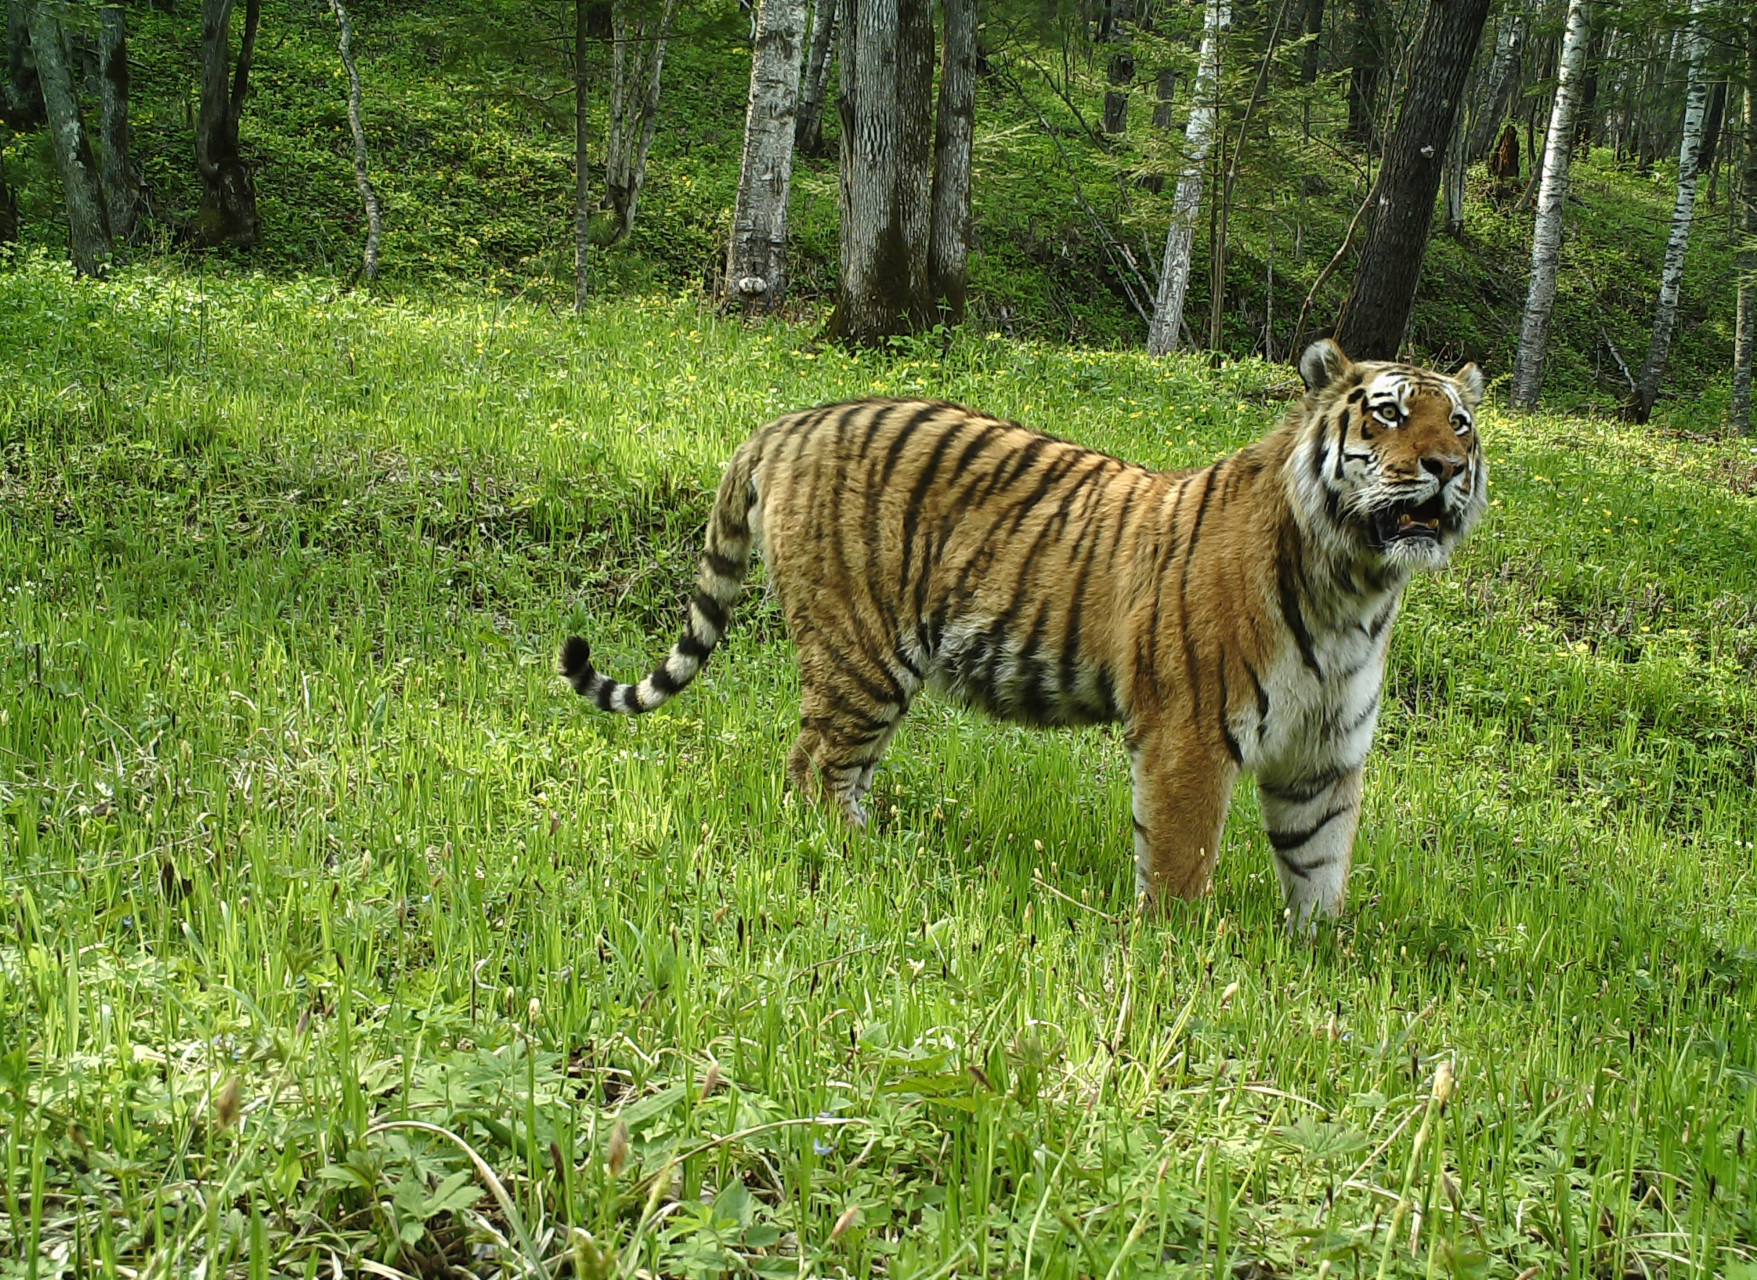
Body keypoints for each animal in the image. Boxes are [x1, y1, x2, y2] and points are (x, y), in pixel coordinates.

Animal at [558, 338, 1482, 934]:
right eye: (1389, 413)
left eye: (1461, 423)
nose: (1445, 468)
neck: (1355, 588)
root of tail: (788, 422)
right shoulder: (1189, 735)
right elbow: (1180, 861)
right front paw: (1178, 953)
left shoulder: (1323, 752)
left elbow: (1319, 865)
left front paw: (1317, 959)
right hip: (862, 655)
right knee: (813, 768)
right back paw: (867, 859)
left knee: (833, 768)